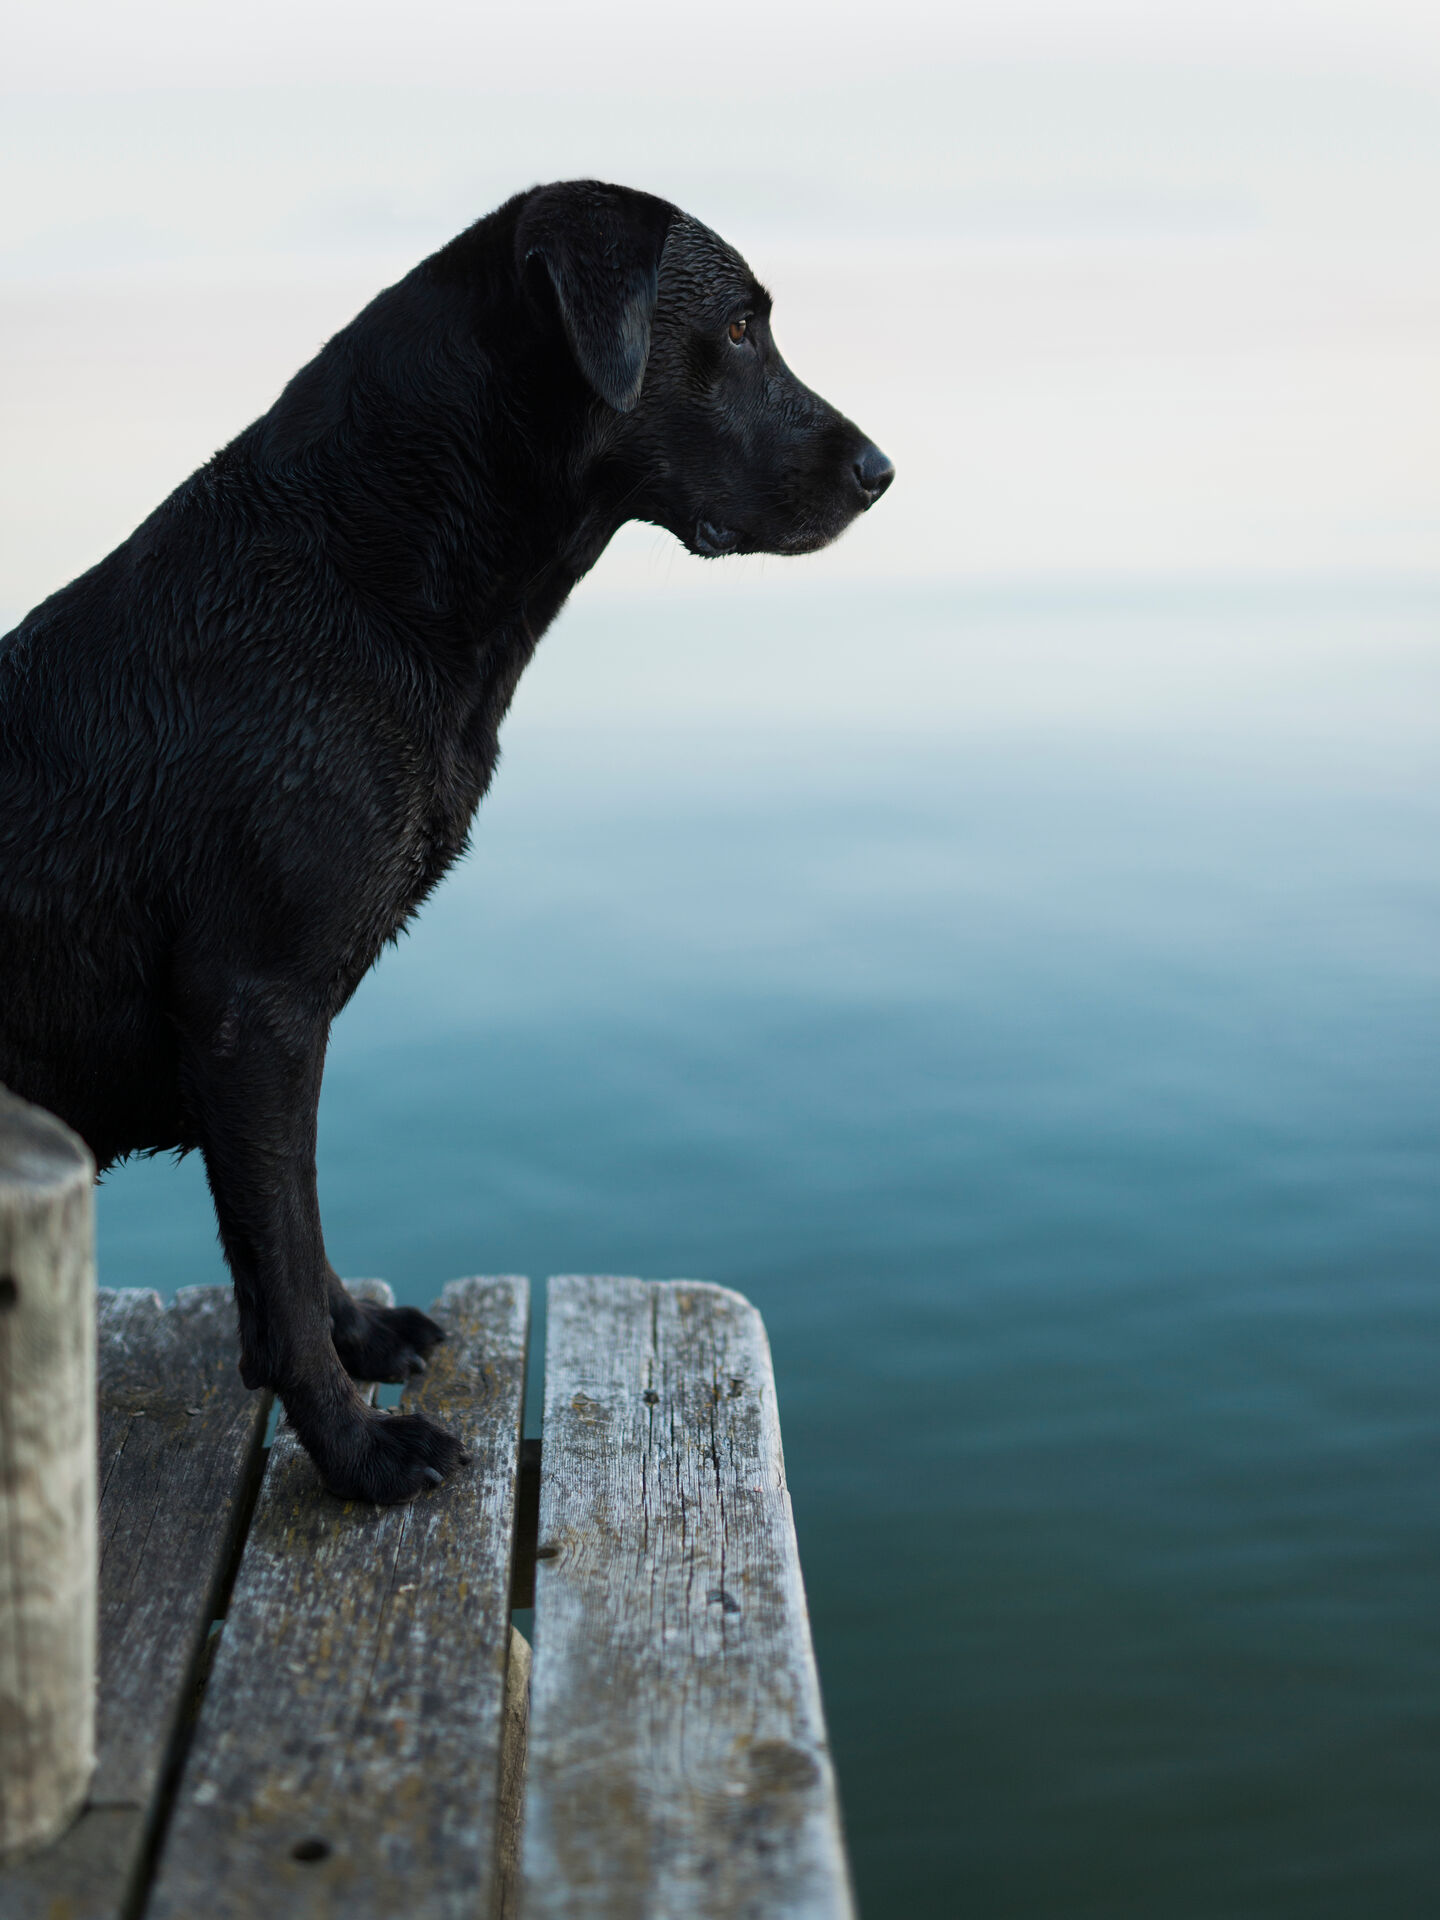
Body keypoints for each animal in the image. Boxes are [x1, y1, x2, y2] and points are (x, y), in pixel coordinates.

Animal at [0, 181, 894, 1503]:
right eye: (739, 329)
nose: (882, 470)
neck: (362, 572)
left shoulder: (276, 1034)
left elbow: (295, 1226)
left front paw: (360, 1336)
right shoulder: (251, 1008)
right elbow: (276, 1248)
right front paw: (356, 1448)